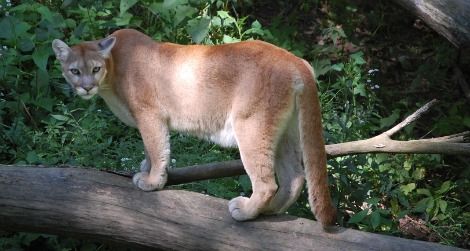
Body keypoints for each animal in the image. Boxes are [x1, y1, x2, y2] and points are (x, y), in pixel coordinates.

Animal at [53, 28, 336, 228]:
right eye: (74, 71)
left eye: (95, 68)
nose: (86, 87)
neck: (111, 71)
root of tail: (294, 60)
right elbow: (150, 148)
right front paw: (146, 170)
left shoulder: (149, 114)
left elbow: (156, 147)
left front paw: (152, 181)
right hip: (285, 131)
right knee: (295, 177)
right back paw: (271, 211)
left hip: (252, 126)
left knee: (267, 183)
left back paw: (245, 211)